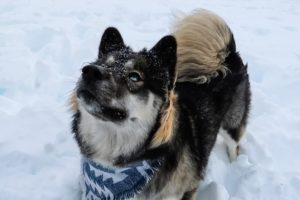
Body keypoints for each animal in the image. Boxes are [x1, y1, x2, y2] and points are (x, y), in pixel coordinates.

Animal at [70, 8, 251, 199]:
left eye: (135, 76)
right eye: (103, 64)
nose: (89, 71)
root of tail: (229, 55)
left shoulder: (190, 187)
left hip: (232, 123)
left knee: (234, 145)